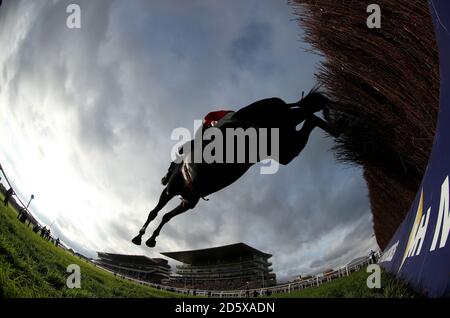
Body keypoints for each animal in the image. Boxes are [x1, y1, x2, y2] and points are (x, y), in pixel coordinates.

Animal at [132, 88, 340, 247]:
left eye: (168, 167)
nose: (162, 180)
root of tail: (279, 103)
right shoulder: (188, 202)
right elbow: (166, 216)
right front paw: (150, 239)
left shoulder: (171, 191)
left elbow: (155, 213)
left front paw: (140, 236)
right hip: (286, 146)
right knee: (310, 115)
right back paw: (337, 127)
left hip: (283, 135)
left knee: (309, 114)